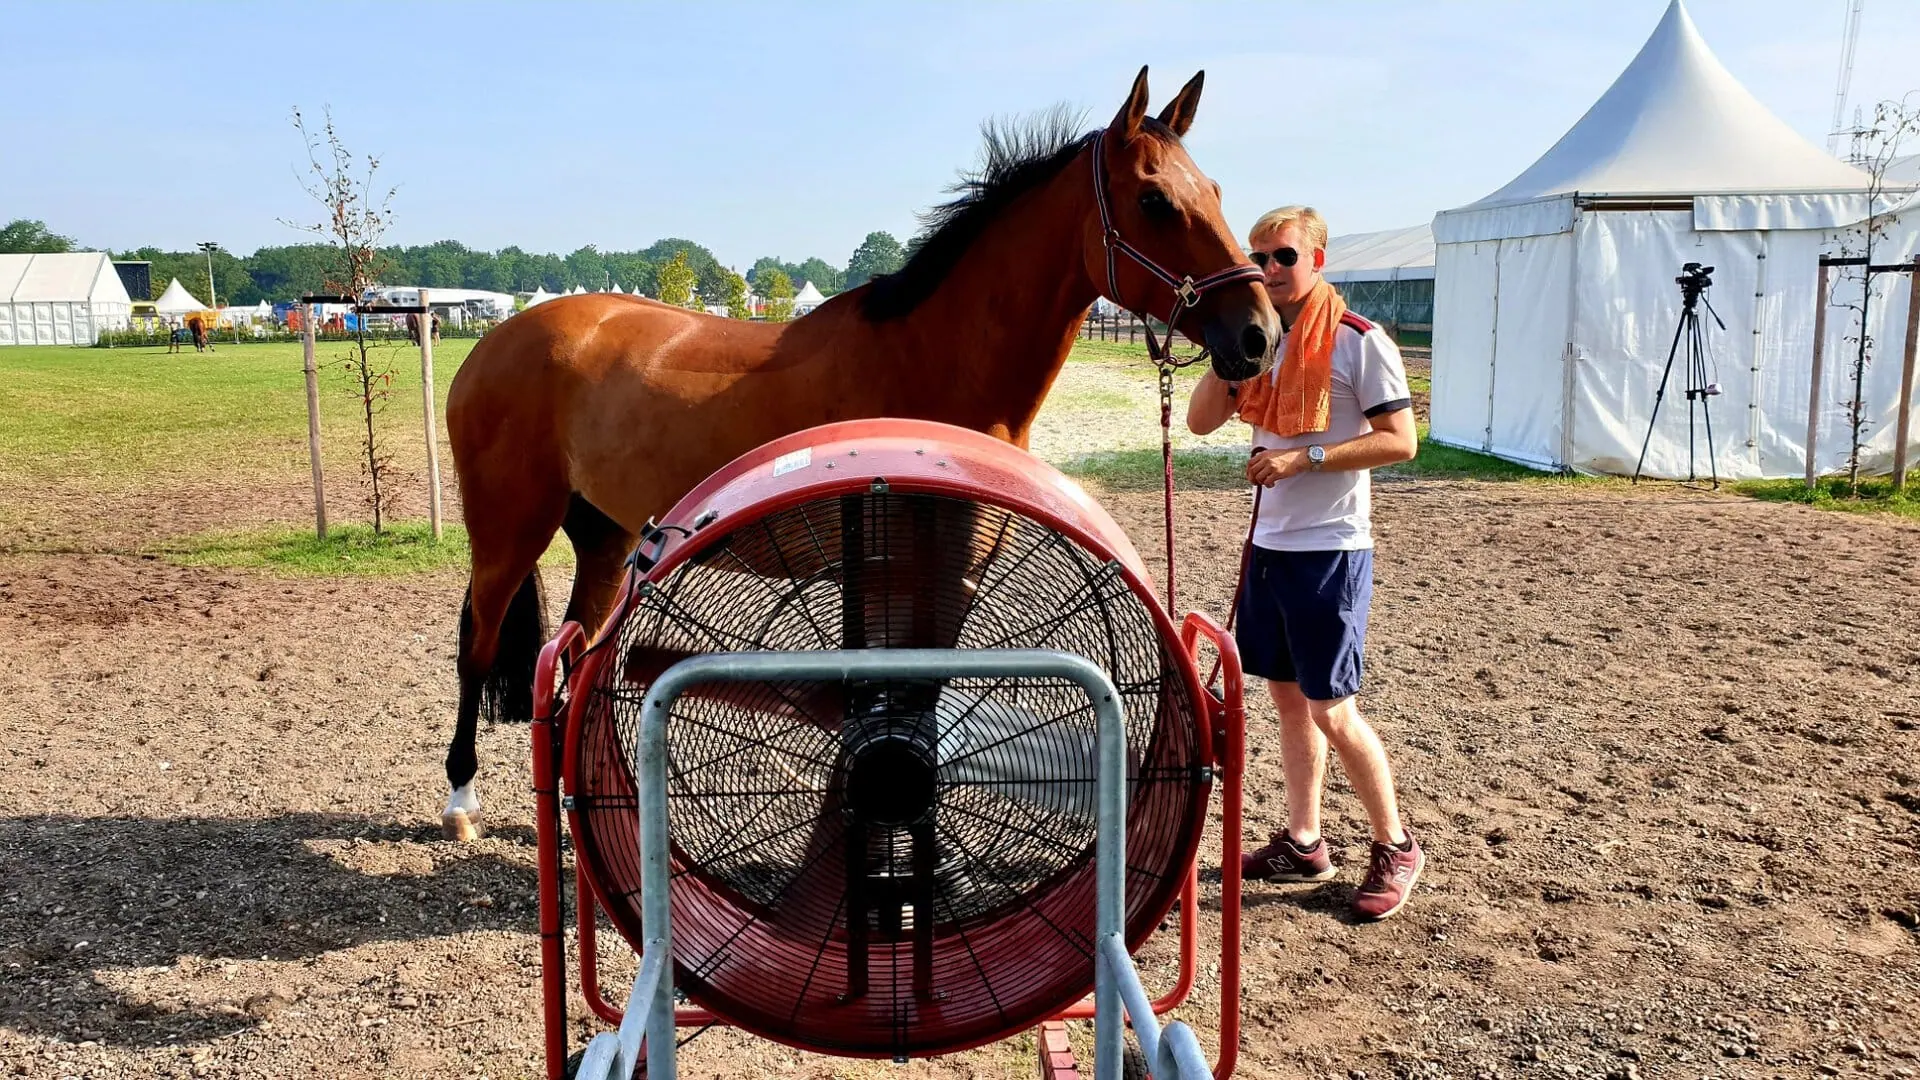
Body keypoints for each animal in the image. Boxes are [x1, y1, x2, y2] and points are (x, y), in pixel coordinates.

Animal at [437, 67, 1279, 840]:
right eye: (1155, 201)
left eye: (1214, 190)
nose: (1258, 335)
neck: (930, 357)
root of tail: (498, 341)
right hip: (509, 533)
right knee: (478, 646)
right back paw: (461, 799)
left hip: (604, 538)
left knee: (574, 657)